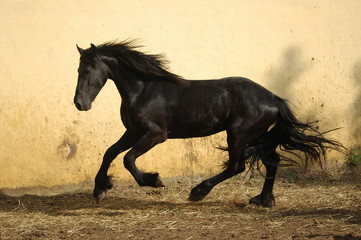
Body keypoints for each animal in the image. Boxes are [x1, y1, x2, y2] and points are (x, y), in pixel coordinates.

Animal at [73, 40, 340, 206]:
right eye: (78, 70)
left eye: (87, 70)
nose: (79, 103)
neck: (143, 90)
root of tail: (274, 98)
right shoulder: (132, 132)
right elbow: (109, 153)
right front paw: (99, 189)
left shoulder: (155, 135)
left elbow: (128, 159)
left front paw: (154, 180)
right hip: (258, 135)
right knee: (271, 161)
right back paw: (262, 200)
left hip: (238, 134)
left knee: (236, 166)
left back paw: (198, 192)